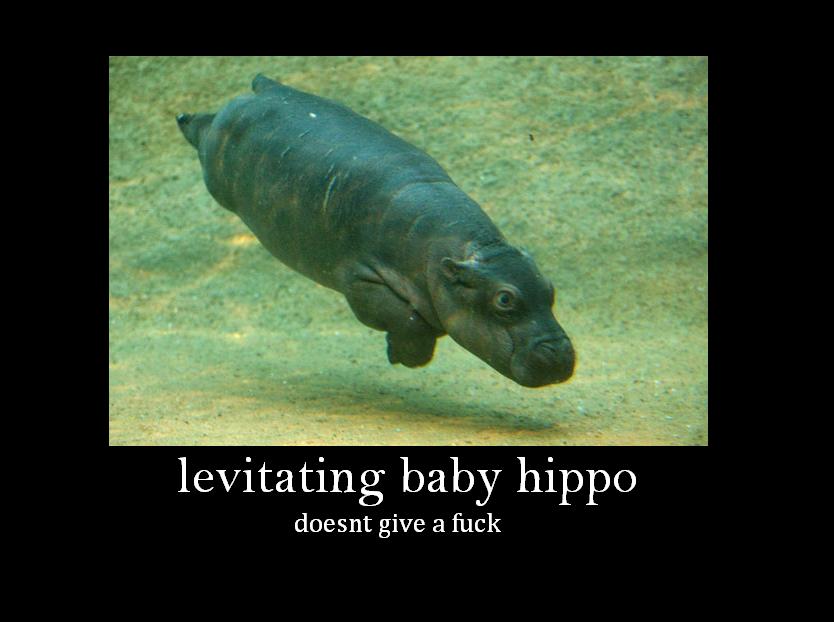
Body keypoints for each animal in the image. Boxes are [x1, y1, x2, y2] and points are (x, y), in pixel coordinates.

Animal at [177, 74, 575, 387]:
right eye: (504, 300)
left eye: (551, 290)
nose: (558, 354)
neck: (464, 250)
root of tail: (264, 86)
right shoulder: (362, 277)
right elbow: (409, 321)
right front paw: (403, 356)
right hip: (214, 166)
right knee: (201, 129)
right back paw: (184, 117)